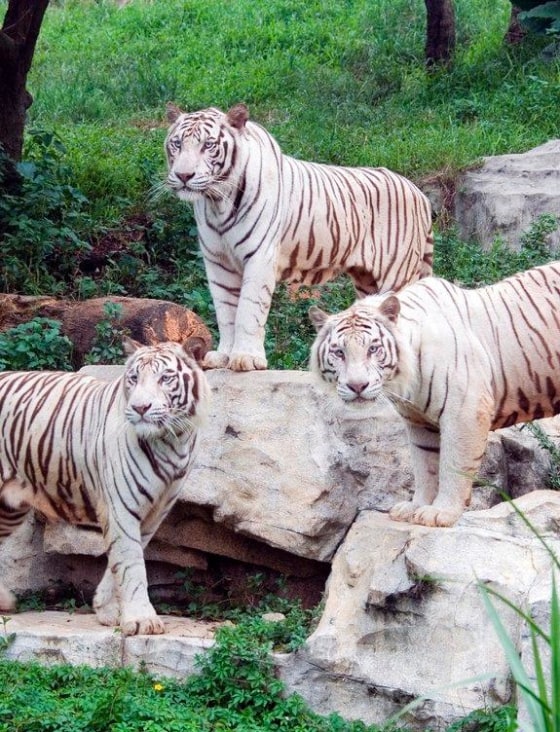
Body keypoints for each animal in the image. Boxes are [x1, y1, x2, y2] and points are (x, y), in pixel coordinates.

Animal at [0, 337, 210, 635]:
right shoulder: (122, 507)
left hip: (9, 507)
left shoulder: (155, 511)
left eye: (165, 378)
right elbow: (132, 564)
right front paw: (142, 620)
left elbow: (125, 558)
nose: (140, 408)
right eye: (134, 378)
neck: (173, 440)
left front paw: (107, 610)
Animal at [164, 102, 434, 372]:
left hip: (396, 274)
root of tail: (419, 193)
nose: (184, 175)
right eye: (177, 143)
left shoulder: (259, 257)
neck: (217, 201)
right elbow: (226, 311)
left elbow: (248, 310)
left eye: (208, 145)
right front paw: (223, 356)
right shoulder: (218, 262)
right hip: (367, 281)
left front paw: (246, 358)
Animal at [309, 261, 560, 528]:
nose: (358, 386)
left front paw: (441, 513)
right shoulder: (418, 421)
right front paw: (415, 507)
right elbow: (424, 467)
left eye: (373, 349)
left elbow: (453, 465)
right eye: (339, 352)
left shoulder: (465, 412)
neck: (405, 380)